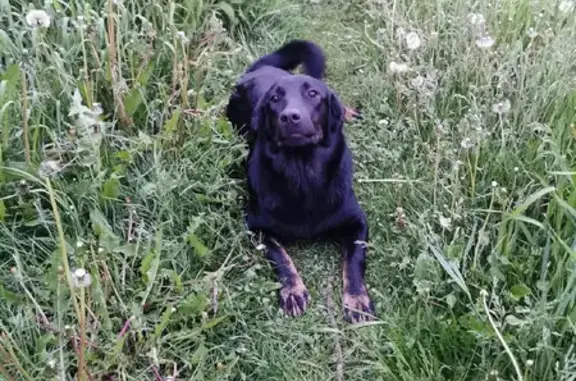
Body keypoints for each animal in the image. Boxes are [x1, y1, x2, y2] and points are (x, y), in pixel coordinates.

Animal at [225, 40, 374, 322]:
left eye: (313, 94)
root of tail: (259, 69)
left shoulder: (357, 222)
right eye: (274, 99)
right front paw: (292, 290)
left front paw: (357, 298)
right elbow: (280, 256)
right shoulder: (256, 226)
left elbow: (355, 260)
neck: (303, 170)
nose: (289, 116)